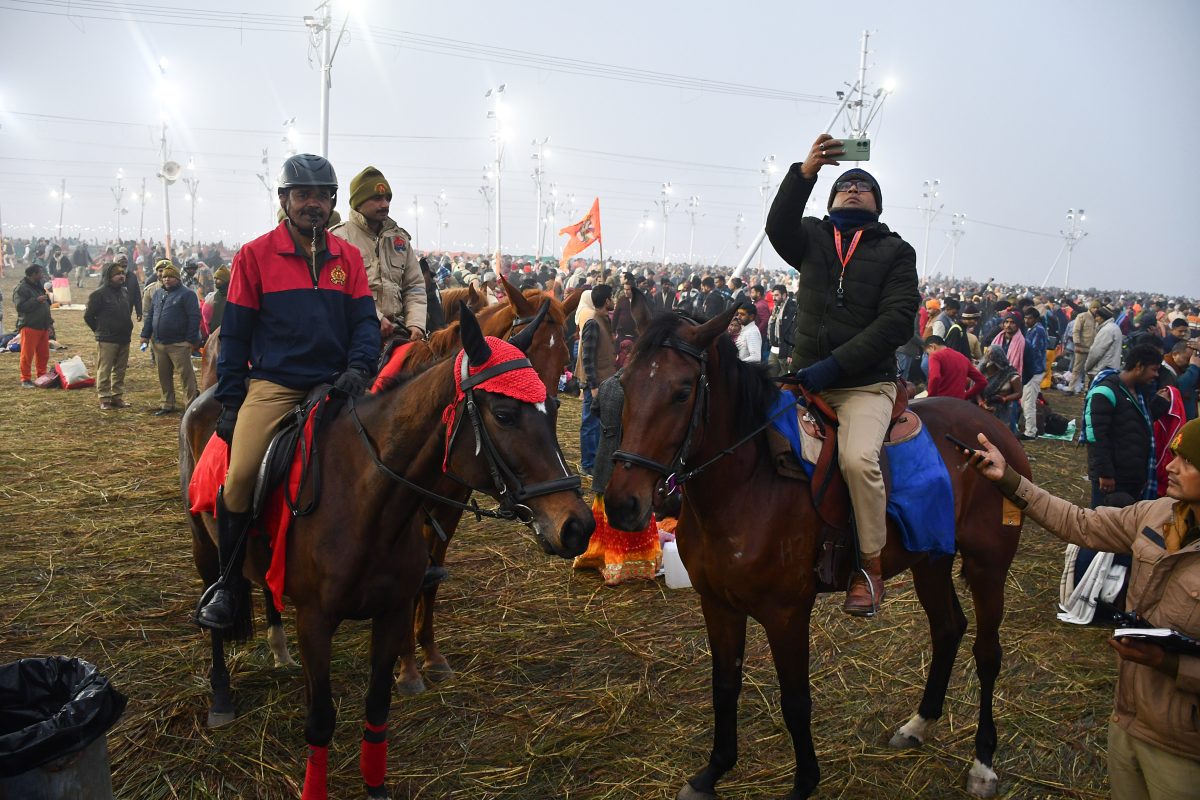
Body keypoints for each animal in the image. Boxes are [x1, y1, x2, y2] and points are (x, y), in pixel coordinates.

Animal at [177, 303, 590, 796]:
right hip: (205, 546)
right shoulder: (315, 622)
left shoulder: (392, 609)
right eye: (506, 414)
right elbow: (321, 720)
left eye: (554, 407)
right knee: (217, 612)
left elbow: (378, 706)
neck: (365, 500)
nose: (578, 525)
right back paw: (221, 692)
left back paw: (278, 649)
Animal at [609, 303, 1032, 796]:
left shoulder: (786, 613)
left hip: (988, 566)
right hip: (931, 558)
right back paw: (919, 724)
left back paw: (983, 761)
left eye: (681, 392)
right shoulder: (718, 604)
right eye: (625, 382)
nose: (622, 504)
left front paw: (804, 782)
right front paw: (714, 770)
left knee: (987, 653)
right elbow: (724, 685)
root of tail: (994, 433)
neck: (747, 483)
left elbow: (795, 700)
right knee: (947, 629)